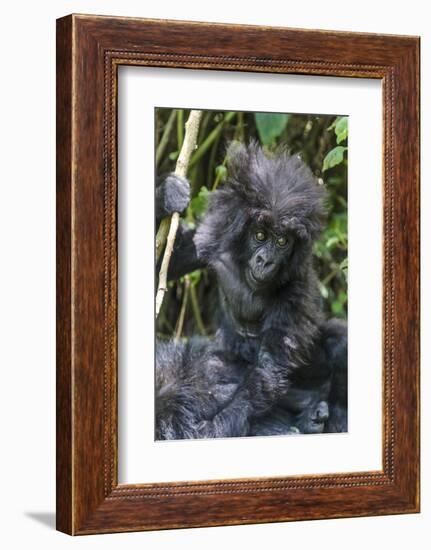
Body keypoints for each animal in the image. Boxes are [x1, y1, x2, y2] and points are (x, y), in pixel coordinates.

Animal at [155, 142, 348, 440]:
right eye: (260, 235)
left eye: (282, 241)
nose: (265, 261)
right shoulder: (212, 238)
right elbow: (167, 262)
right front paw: (166, 195)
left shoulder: (295, 287)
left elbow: (269, 369)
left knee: (339, 341)